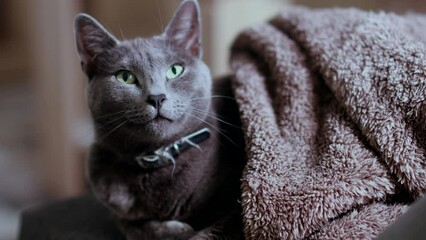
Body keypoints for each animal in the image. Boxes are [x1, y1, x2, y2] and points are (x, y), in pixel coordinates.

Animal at [75, 0, 245, 239]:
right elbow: (130, 226)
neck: (157, 157)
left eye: (175, 70)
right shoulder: (116, 207)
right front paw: (174, 229)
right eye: (125, 76)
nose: (156, 97)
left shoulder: (236, 207)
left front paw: (182, 229)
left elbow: (208, 232)